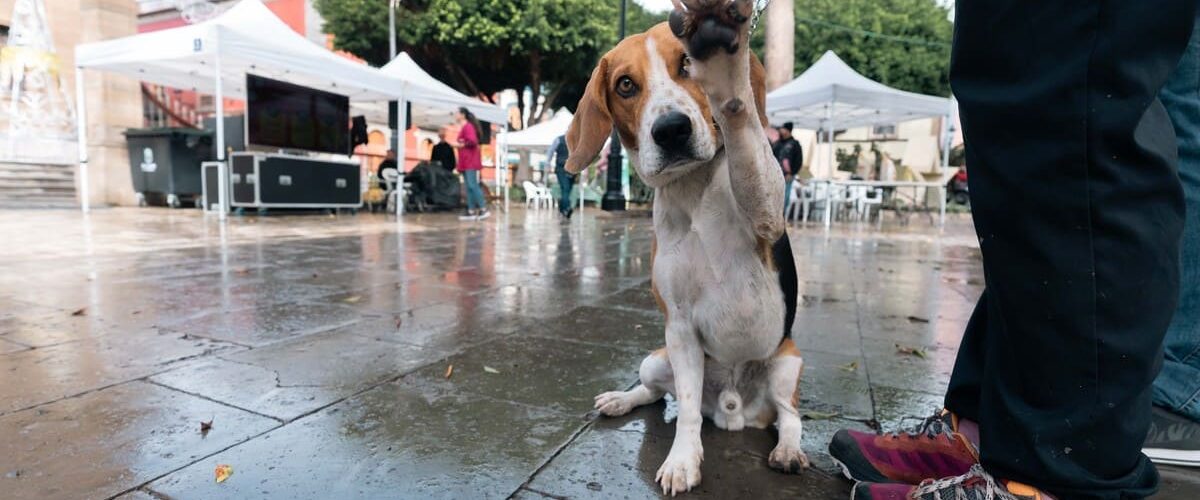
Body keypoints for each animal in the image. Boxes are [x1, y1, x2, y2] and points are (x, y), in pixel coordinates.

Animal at [564, 0, 806, 494]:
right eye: (625, 84)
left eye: (687, 65)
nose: (671, 130)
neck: (693, 191)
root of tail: (734, 411)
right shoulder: (678, 328)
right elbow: (688, 409)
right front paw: (683, 460)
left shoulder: (767, 213)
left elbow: (744, 137)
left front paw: (727, 75)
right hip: (654, 359)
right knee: (657, 394)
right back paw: (621, 399)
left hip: (786, 363)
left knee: (790, 417)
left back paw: (788, 450)